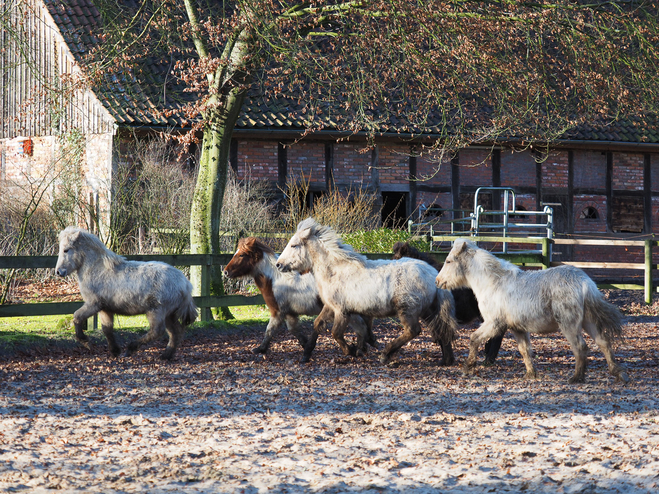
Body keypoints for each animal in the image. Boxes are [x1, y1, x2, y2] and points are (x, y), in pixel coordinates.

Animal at [55, 227, 199, 358]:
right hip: (170, 314)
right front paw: (114, 351)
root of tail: (185, 283)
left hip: (157, 311)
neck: (98, 270)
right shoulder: (105, 309)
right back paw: (166, 355)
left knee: (157, 331)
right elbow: (107, 330)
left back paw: (132, 348)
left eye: (66, 249)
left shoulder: (93, 305)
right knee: (176, 332)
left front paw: (85, 341)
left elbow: (77, 317)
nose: (59, 272)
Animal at [276, 218, 456, 364]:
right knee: (441, 330)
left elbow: (336, 333)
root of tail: (433, 275)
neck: (335, 270)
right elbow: (318, 325)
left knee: (413, 331)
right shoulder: (330, 307)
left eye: (294, 245)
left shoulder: (342, 311)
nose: (278, 264)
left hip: (408, 311)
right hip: (429, 311)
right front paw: (306, 355)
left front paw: (352, 351)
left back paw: (385, 355)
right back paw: (445, 360)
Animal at [436, 237, 632, 384]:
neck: (493, 282)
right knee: (603, 343)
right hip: (587, 321)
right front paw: (531, 374)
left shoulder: (494, 324)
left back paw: (577, 378)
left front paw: (468, 367)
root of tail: (585, 282)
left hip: (569, 325)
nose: (438, 281)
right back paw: (618, 374)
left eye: (448, 261)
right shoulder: (517, 329)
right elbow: (525, 350)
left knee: (580, 347)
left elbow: (474, 339)